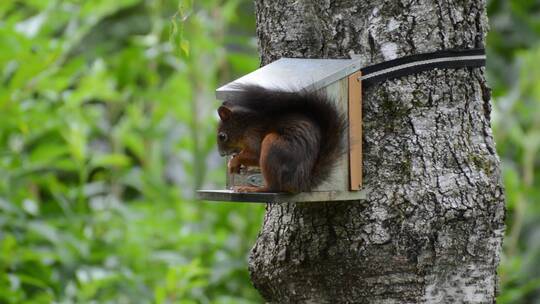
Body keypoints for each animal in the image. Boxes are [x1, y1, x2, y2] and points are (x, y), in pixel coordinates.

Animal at [215, 83, 346, 192]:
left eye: (222, 136)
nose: (221, 154)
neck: (244, 125)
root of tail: (299, 183)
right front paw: (235, 164)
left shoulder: (253, 134)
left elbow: (256, 154)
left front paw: (233, 162)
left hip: (272, 145)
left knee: (274, 187)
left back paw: (254, 189)